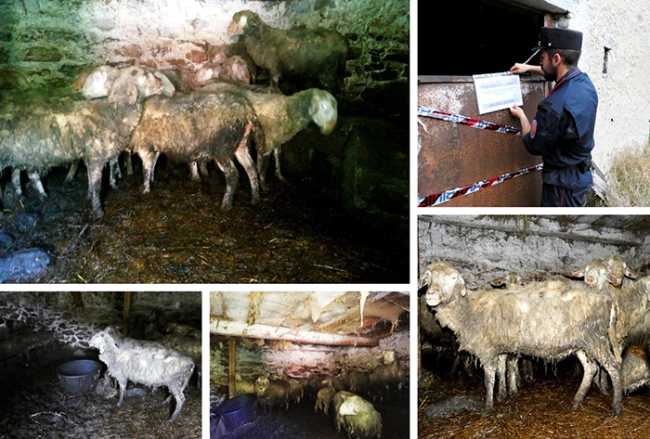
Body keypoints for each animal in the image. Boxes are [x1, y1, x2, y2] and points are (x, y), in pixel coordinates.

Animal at [0, 66, 174, 218]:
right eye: (143, 74)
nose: (160, 82)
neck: (113, 112)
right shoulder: (96, 155)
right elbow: (96, 185)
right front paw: (98, 211)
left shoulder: (90, 156)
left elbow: (90, 180)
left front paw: (89, 197)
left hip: (21, 152)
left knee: (18, 174)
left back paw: (27, 196)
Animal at [129, 89, 263, 210]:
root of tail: (246, 109)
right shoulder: (154, 146)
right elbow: (153, 164)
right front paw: (151, 181)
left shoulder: (145, 146)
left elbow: (146, 169)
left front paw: (145, 189)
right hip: (241, 145)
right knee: (251, 168)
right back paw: (255, 198)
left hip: (221, 147)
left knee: (233, 174)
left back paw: (226, 204)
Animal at [202, 83, 337, 189]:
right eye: (324, 107)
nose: (329, 130)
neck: (289, 111)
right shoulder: (267, 142)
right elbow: (263, 166)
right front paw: (263, 185)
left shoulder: (276, 140)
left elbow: (278, 156)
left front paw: (280, 177)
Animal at [420, 260, 624, 415]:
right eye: (428, 277)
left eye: (453, 278)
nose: (431, 295)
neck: (468, 309)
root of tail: (607, 299)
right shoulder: (500, 348)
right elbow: (502, 370)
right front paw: (503, 394)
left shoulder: (487, 349)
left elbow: (489, 378)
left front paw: (488, 406)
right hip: (582, 342)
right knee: (591, 368)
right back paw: (577, 401)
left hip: (596, 338)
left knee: (612, 366)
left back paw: (616, 406)